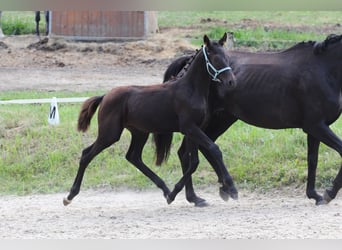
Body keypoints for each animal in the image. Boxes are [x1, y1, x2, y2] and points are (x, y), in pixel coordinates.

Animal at [62, 32, 236, 205]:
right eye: (215, 58)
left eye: (227, 57)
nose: (231, 81)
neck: (190, 90)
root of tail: (105, 96)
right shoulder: (190, 128)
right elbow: (214, 149)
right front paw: (232, 189)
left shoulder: (194, 130)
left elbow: (194, 162)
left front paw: (184, 196)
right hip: (110, 134)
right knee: (87, 154)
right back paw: (69, 196)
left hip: (139, 132)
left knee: (133, 157)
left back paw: (166, 190)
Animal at [158, 33, 342, 205]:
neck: (322, 69)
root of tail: (189, 60)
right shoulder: (316, 126)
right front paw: (329, 193)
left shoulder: (315, 128)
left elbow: (312, 160)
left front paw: (315, 195)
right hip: (201, 123)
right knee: (188, 153)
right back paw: (196, 196)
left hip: (221, 119)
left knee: (199, 149)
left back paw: (219, 190)